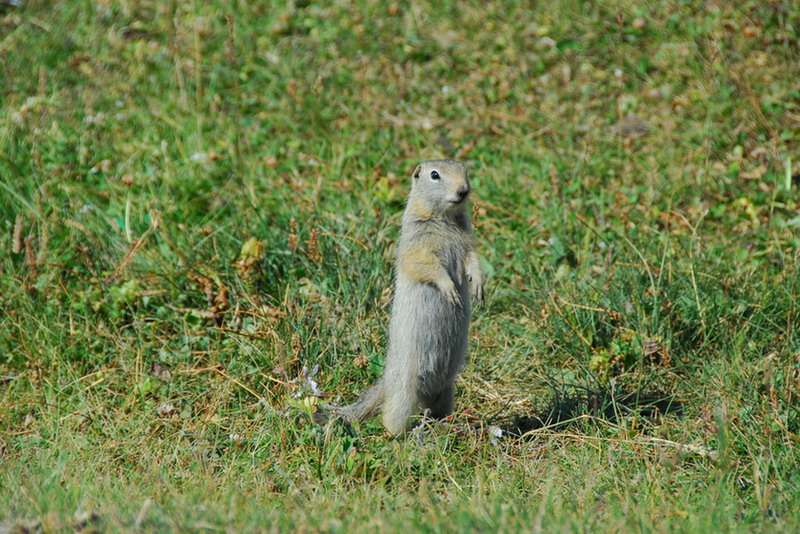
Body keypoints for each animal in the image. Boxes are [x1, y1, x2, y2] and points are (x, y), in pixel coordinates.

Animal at [328, 159, 484, 436]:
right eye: (435, 175)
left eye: (465, 172)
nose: (463, 190)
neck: (444, 218)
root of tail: (386, 383)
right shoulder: (417, 246)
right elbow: (427, 266)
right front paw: (450, 290)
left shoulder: (467, 243)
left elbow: (472, 261)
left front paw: (478, 287)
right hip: (404, 392)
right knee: (391, 419)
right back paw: (399, 436)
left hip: (447, 390)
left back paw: (445, 426)